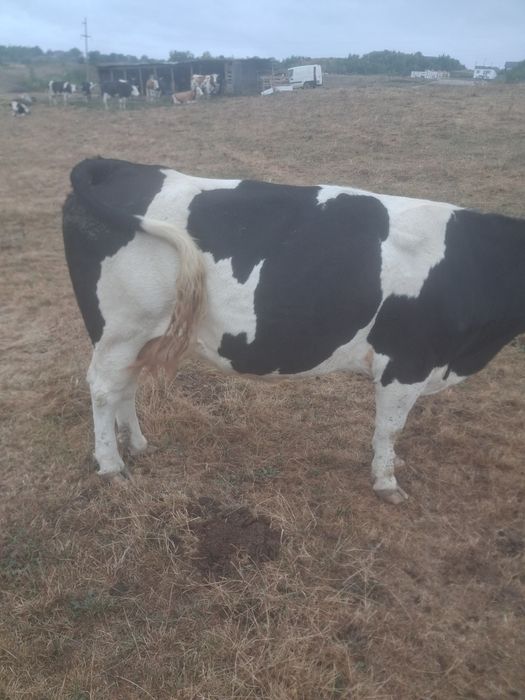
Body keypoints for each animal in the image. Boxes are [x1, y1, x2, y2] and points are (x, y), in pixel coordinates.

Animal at [63, 157, 525, 504]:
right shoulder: (406, 361)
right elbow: (390, 427)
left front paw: (392, 464)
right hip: (122, 327)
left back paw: (138, 444)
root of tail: (116, 165)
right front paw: (387, 481)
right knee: (103, 388)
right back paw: (111, 465)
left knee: (125, 385)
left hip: (138, 334)